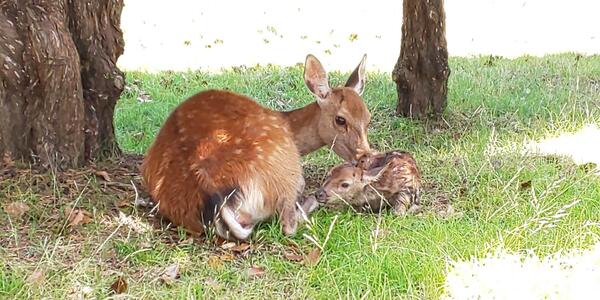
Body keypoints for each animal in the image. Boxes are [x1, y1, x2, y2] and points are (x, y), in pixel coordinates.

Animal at [142, 54, 372, 241]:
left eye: (368, 118)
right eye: (340, 120)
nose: (366, 156)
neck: (288, 124)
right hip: (286, 170)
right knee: (288, 224)